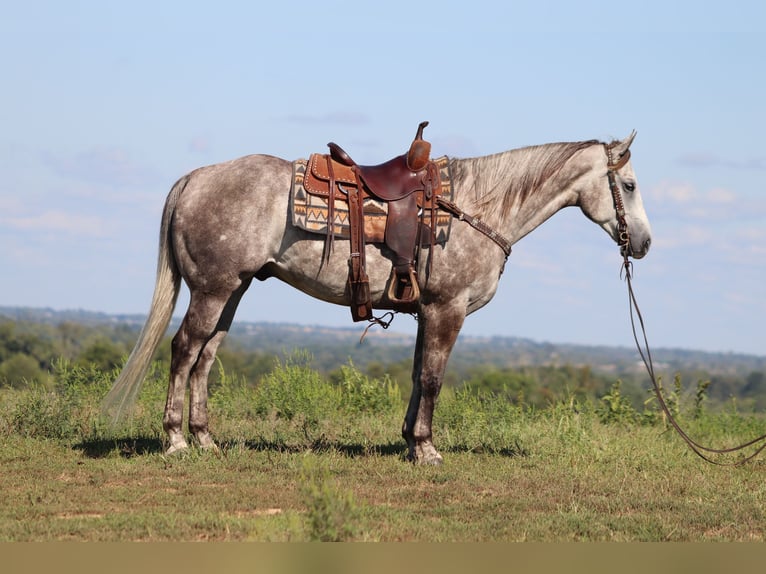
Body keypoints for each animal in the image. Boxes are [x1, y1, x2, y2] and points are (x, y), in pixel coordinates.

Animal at [103, 130, 651, 464]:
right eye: (628, 183)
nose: (643, 243)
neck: (477, 207)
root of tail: (195, 178)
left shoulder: (427, 312)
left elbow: (417, 374)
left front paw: (410, 441)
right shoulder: (447, 309)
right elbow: (433, 378)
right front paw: (427, 449)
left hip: (231, 290)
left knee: (206, 356)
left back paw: (204, 438)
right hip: (212, 290)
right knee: (183, 350)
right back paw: (176, 440)